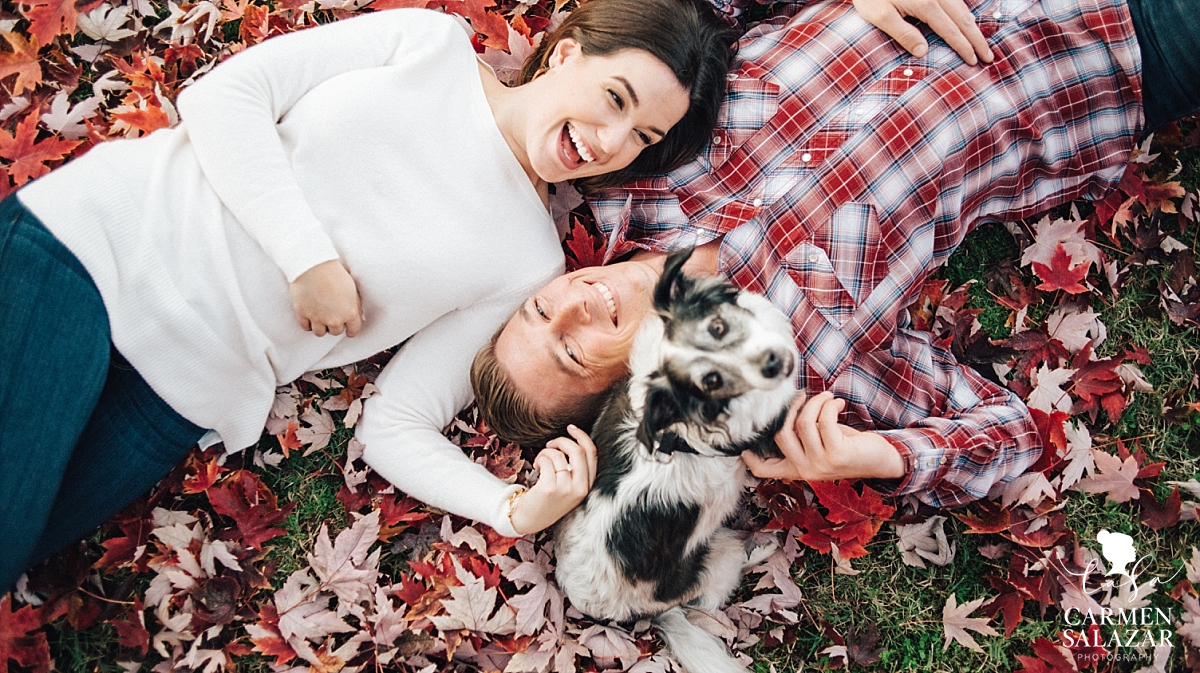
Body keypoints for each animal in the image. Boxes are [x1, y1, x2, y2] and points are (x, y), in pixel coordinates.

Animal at [556, 248, 801, 671]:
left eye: (717, 327)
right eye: (710, 381)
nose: (773, 363)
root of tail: (631, 618)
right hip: (716, 557)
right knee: (720, 582)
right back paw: (763, 547)